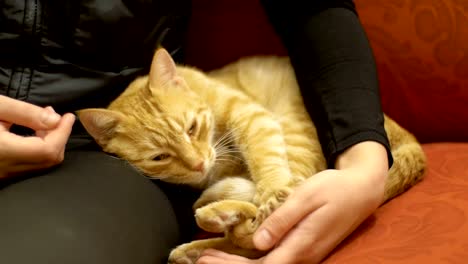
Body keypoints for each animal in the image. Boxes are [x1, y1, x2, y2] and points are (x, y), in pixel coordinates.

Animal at [77, 48, 428, 262]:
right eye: (159, 157)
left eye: (192, 128)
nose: (198, 164)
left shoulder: (252, 116)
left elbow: (265, 162)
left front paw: (269, 190)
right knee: (248, 237)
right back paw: (198, 242)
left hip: (294, 130)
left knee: (260, 227)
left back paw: (216, 218)